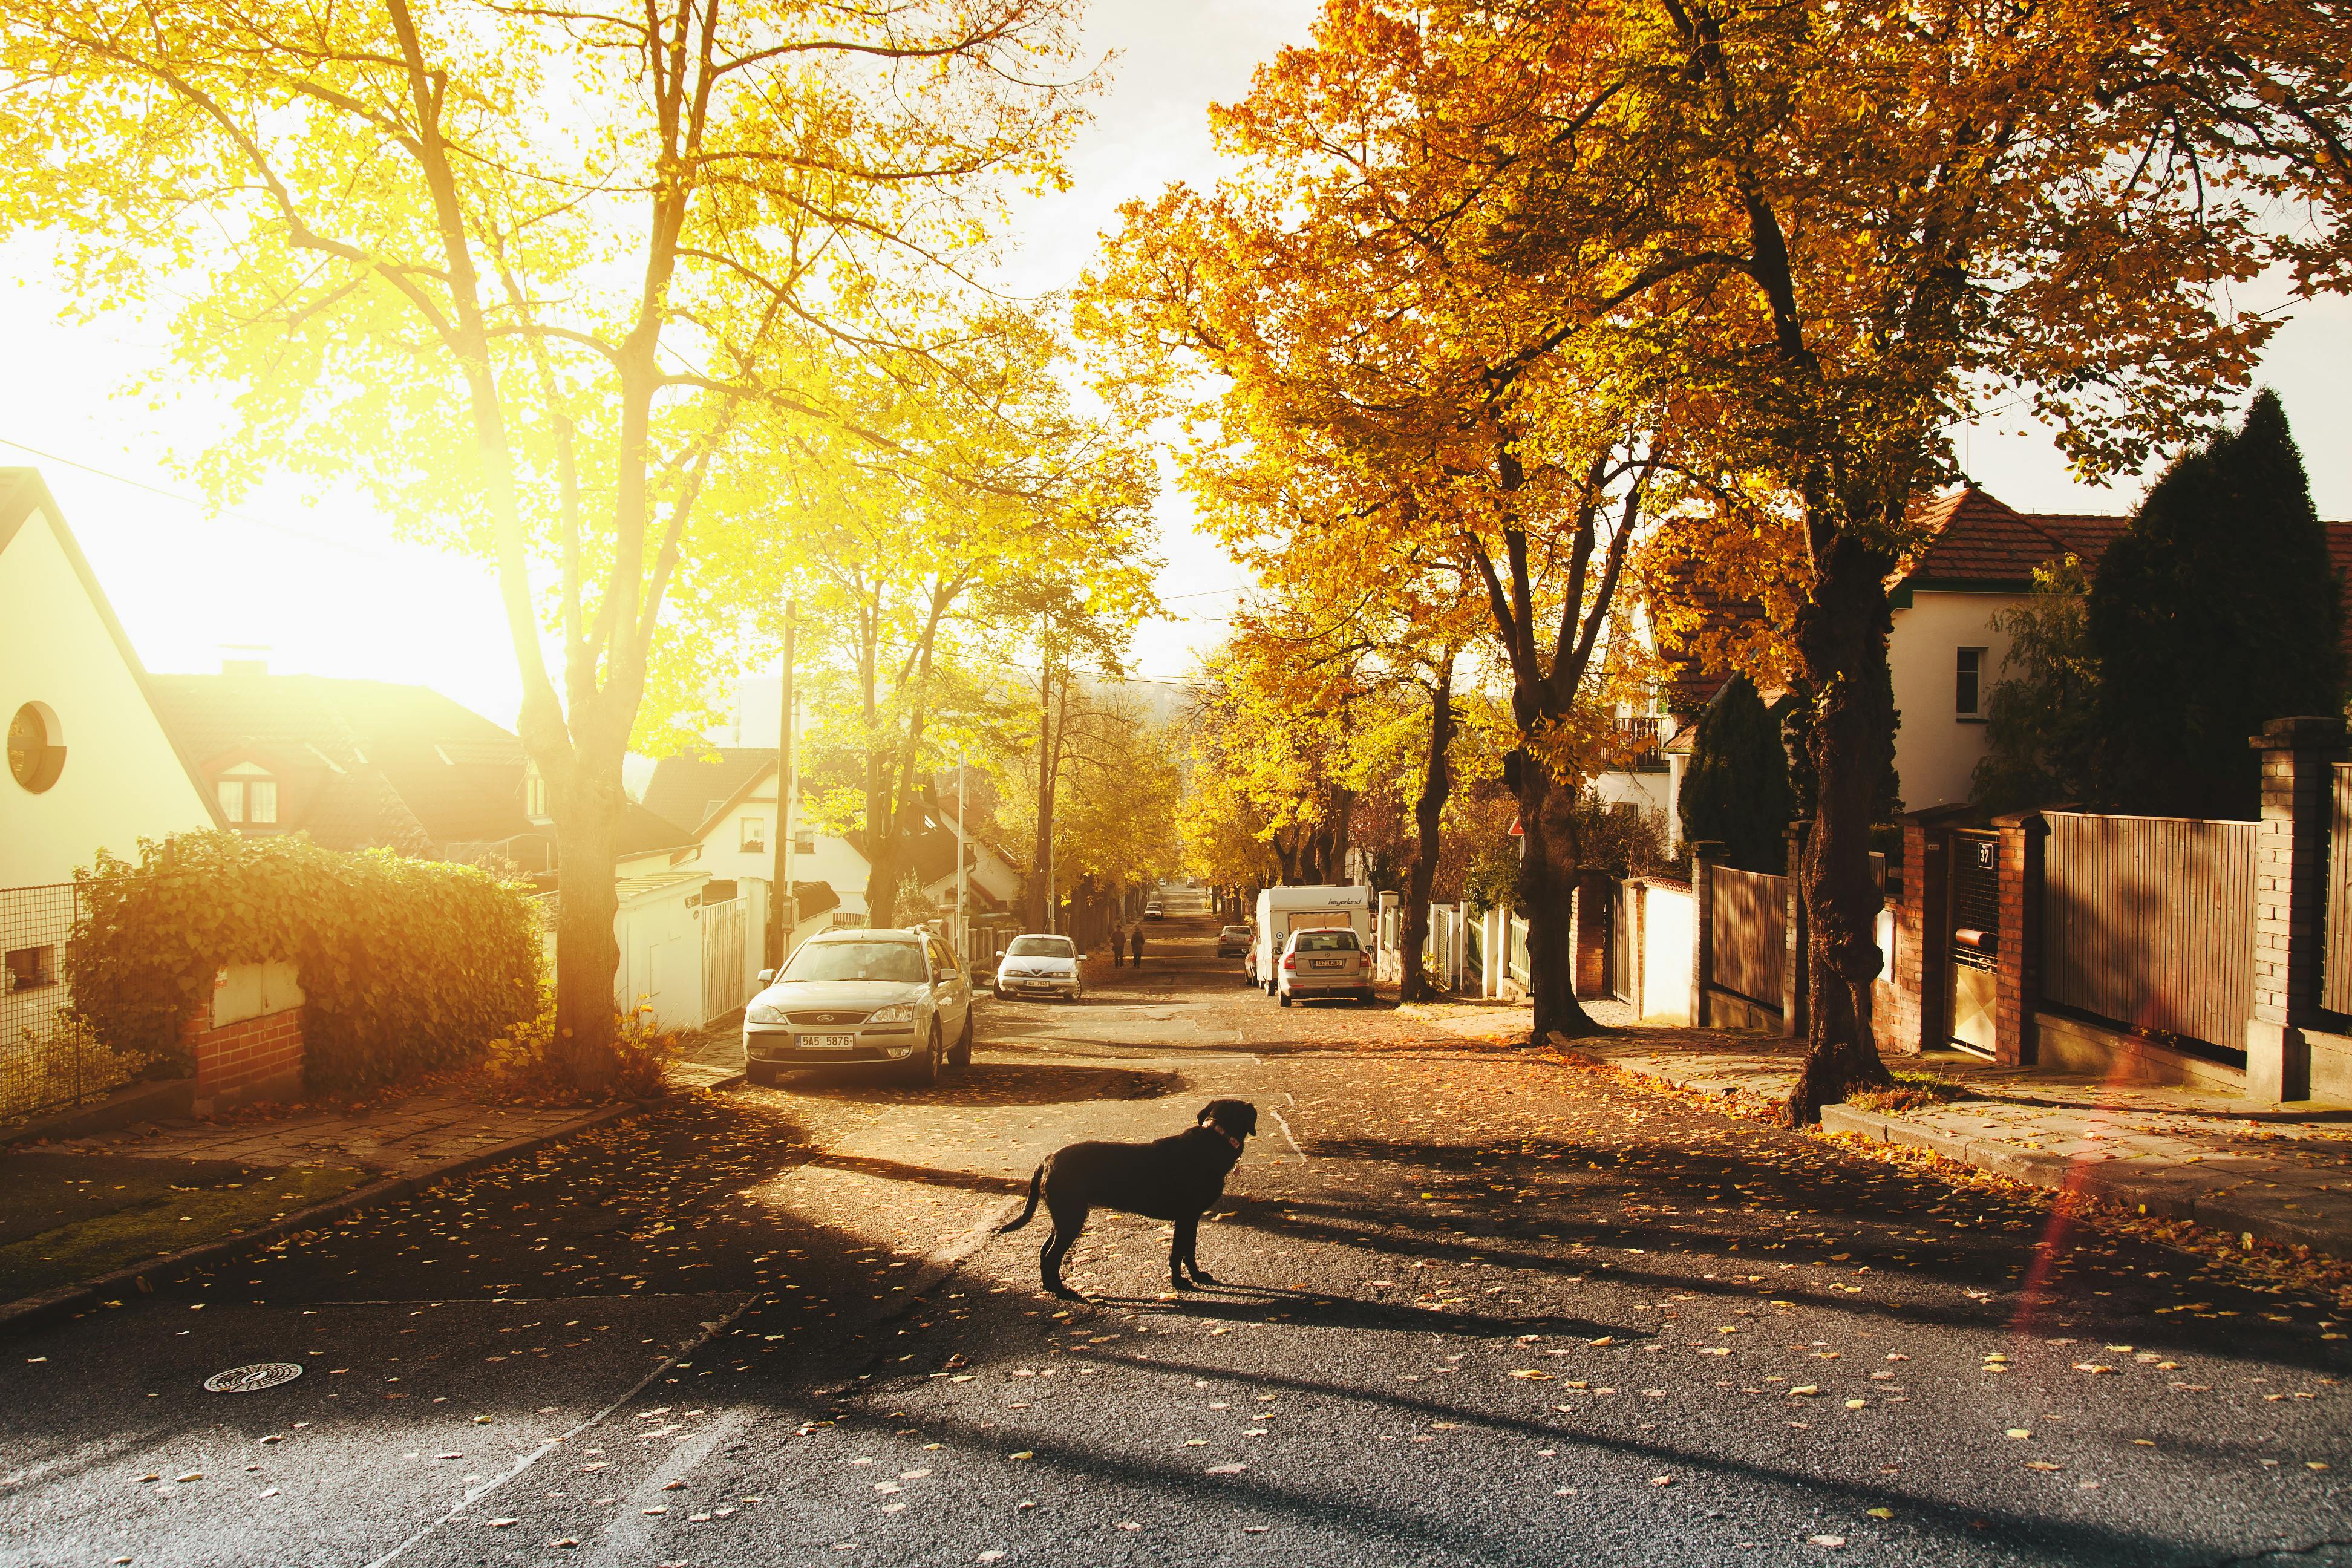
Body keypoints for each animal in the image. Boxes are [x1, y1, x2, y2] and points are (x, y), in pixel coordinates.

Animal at [992, 1100, 1260, 1298]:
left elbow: (1189, 1250)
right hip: (1071, 1218)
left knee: (1044, 1250)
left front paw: (1196, 1276)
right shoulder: (1186, 1216)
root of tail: (1047, 1159)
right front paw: (1180, 1283)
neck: (1213, 1142)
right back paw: (1062, 1292)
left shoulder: (1191, 1218)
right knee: (1051, 1255)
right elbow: (1178, 1252)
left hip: (1064, 1216)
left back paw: (1049, 1287)